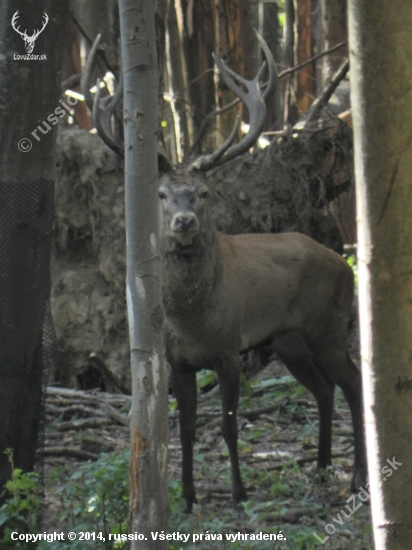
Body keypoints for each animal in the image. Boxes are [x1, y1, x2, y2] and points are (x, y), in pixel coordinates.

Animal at [82, 31, 366, 512]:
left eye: (203, 192)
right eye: (161, 194)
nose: (184, 222)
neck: (192, 318)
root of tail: (343, 265)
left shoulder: (229, 349)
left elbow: (230, 425)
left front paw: (237, 492)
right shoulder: (178, 362)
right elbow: (186, 430)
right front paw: (188, 497)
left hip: (327, 325)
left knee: (354, 383)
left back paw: (357, 479)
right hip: (288, 339)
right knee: (324, 389)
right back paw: (323, 467)